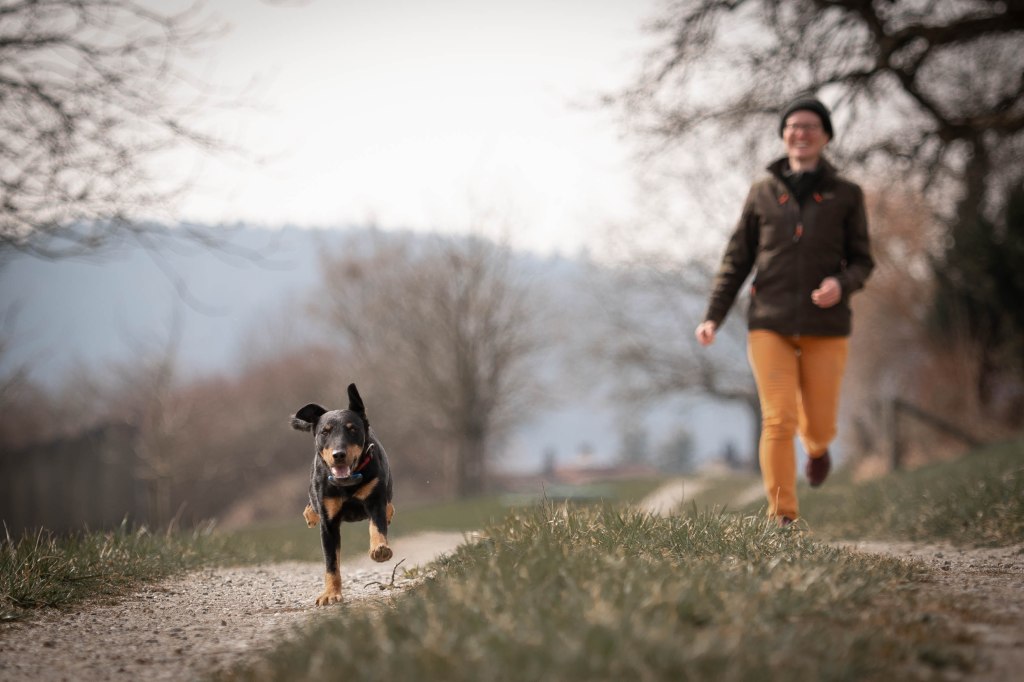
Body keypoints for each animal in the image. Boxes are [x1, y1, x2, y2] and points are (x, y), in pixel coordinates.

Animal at [290, 383, 394, 606]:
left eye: (352, 429)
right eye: (325, 432)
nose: (338, 455)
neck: (347, 482)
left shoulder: (374, 500)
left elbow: (377, 526)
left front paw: (380, 549)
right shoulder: (328, 522)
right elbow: (331, 562)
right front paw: (331, 593)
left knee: (388, 503)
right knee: (311, 504)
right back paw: (310, 515)